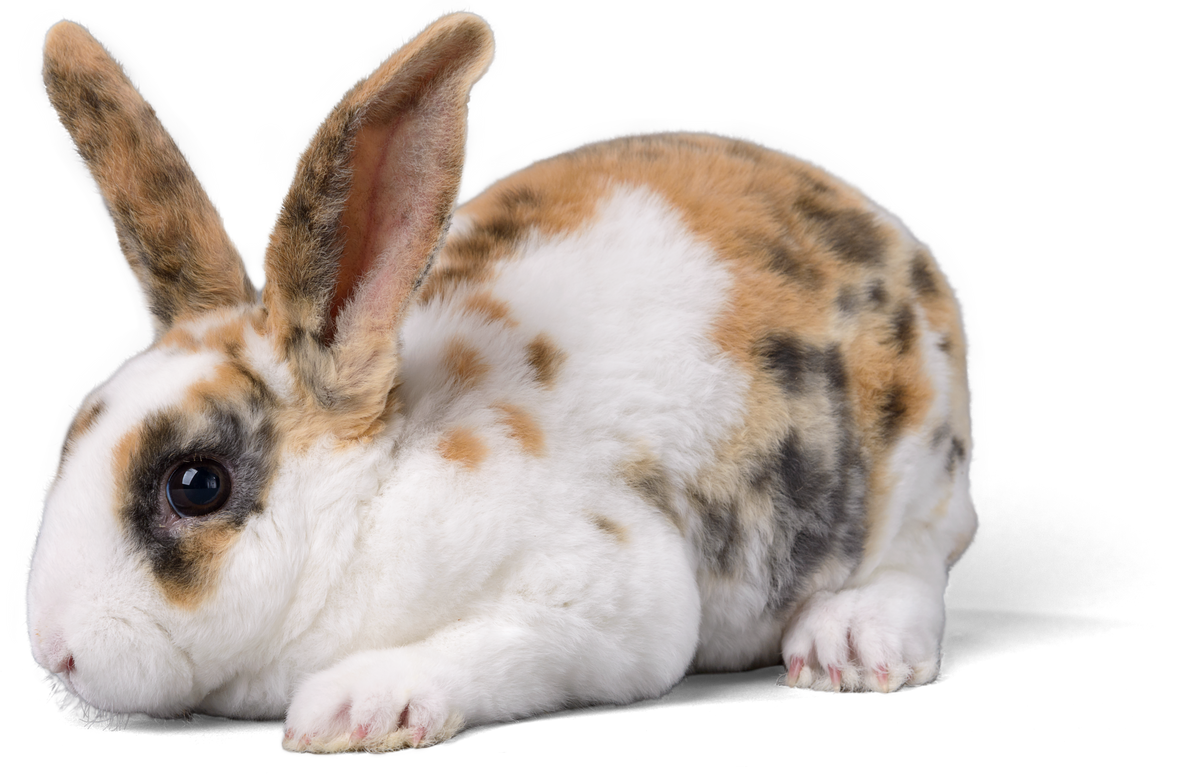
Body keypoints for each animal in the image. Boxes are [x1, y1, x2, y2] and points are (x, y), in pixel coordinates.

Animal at [25, 12, 979, 753]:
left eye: (196, 484)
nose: (54, 649)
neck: (373, 487)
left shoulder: (603, 600)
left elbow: (496, 645)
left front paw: (350, 709)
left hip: (913, 477)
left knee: (924, 556)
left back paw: (847, 644)